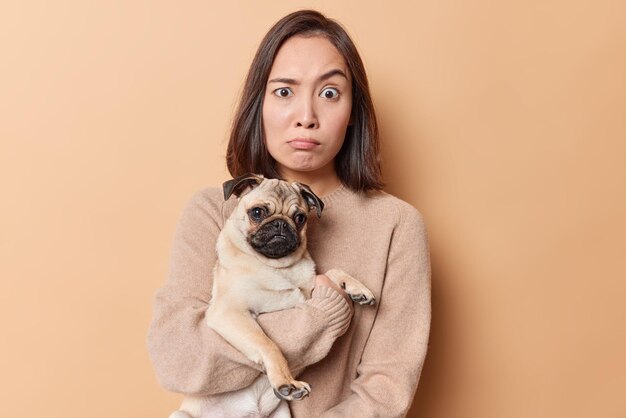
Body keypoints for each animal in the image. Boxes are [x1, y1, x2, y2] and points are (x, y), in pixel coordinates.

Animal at [171, 174, 372, 418]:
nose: (281, 223)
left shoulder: (309, 292)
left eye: (300, 218)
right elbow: (268, 344)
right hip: (180, 415)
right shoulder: (229, 312)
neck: (278, 267)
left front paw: (357, 288)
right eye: (257, 212)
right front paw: (287, 383)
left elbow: (333, 272)